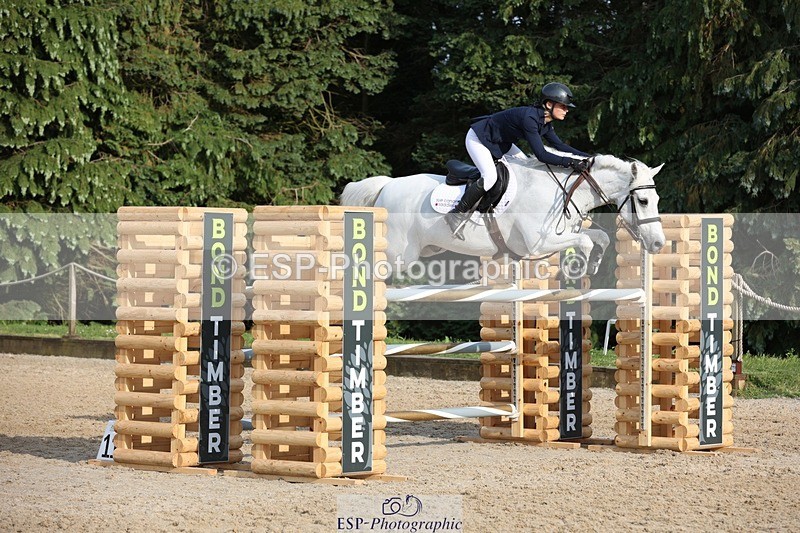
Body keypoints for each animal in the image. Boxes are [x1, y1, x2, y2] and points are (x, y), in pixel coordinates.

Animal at [340, 153, 666, 275]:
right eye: (644, 200)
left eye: (657, 199)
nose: (659, 244)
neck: (561, 190)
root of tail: (387, 185)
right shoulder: (537, 245)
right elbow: (585, 241)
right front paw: (582, 264)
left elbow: (598, 236)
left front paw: (595, 263)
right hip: (397, 255)